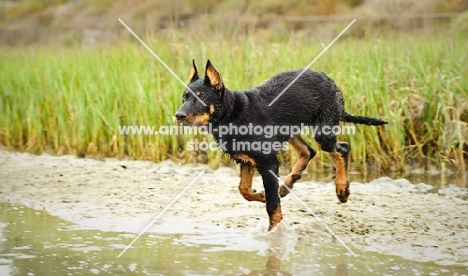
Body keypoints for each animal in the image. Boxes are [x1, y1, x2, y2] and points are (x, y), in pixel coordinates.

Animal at [176, 60, 388, 231]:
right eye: (184, 97)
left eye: (201, 97)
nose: (178, 115)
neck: (231, 114)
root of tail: (331, 83)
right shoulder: (247, 160)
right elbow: (244, 190)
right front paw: (262, 195)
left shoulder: (267, 161)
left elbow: (271, 207)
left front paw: (273, 233)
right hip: (290, 129)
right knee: (308, 151)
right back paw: (286, 186)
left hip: (323, 132)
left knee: (342, 148)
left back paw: (342, 189)